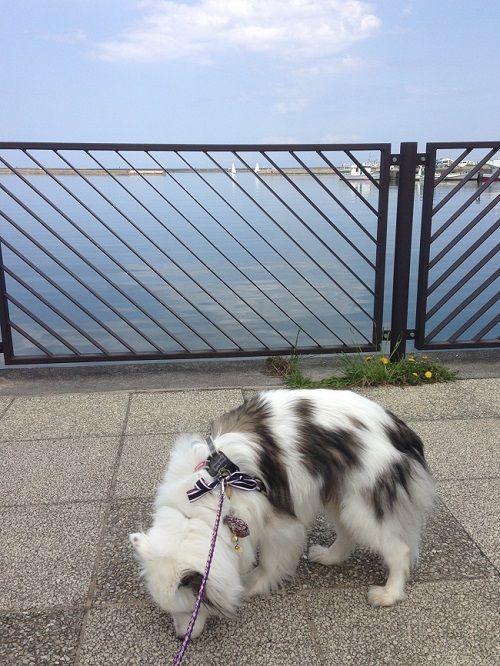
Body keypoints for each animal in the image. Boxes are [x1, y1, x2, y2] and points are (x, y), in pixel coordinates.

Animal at [130, 386, 434, 636]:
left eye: (189, 611)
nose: (180, 637)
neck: (215, 483)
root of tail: (399, 429)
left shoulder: (278, 522)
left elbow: (270, 560)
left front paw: (253, 584)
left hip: (361, 506)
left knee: (399, 550)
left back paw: (389, 594)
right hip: (339, 496)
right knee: (348, 535)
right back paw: (328, 556)